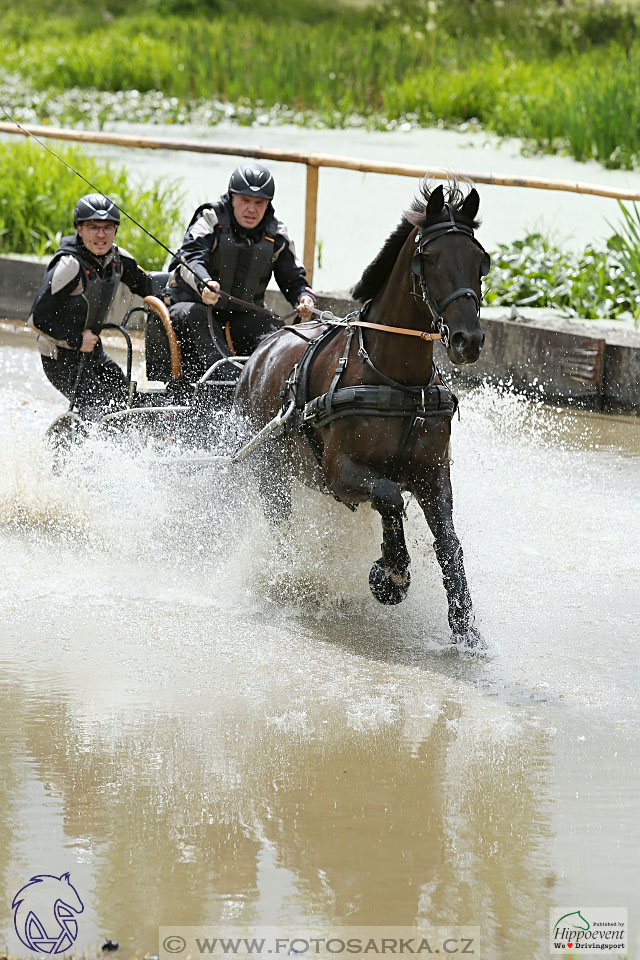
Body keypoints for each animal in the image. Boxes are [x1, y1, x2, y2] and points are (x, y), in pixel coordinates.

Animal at [235, 180, 490, 644]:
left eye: (481, 261)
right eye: (431, 258)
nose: (469, 340)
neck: (397, 382)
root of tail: (262, 351)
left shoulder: (433, 474)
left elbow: (448, 541)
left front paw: (465, 628)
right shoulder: (341, 472)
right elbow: (389, 497)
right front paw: (391, 575)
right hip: (270, 474)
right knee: (281, 527)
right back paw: (288, 579)